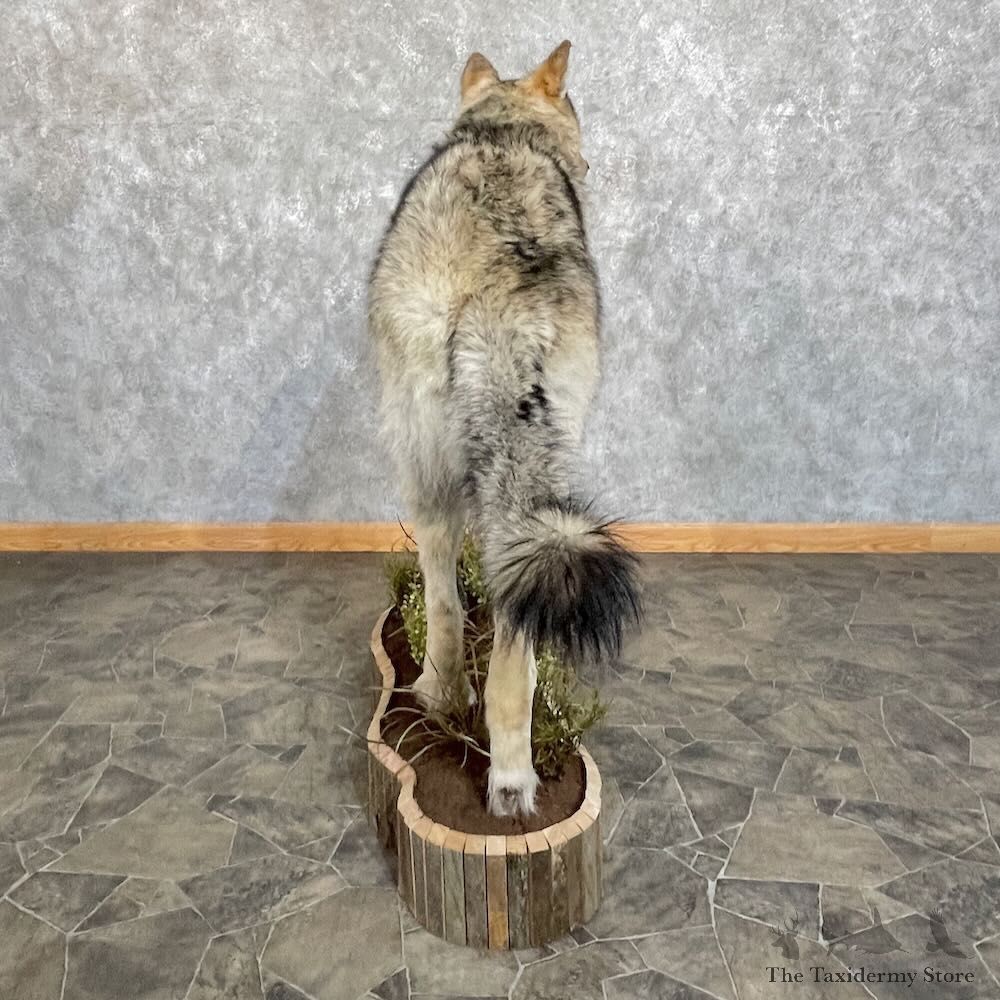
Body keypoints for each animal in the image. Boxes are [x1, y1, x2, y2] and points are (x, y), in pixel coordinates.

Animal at [368, 41, 640, 816]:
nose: (591, 164)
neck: (503, 135)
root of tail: (485, 287)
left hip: (428, 470)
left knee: (453, 602)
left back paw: (451, 708)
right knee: (504, 634)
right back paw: (508, 765)